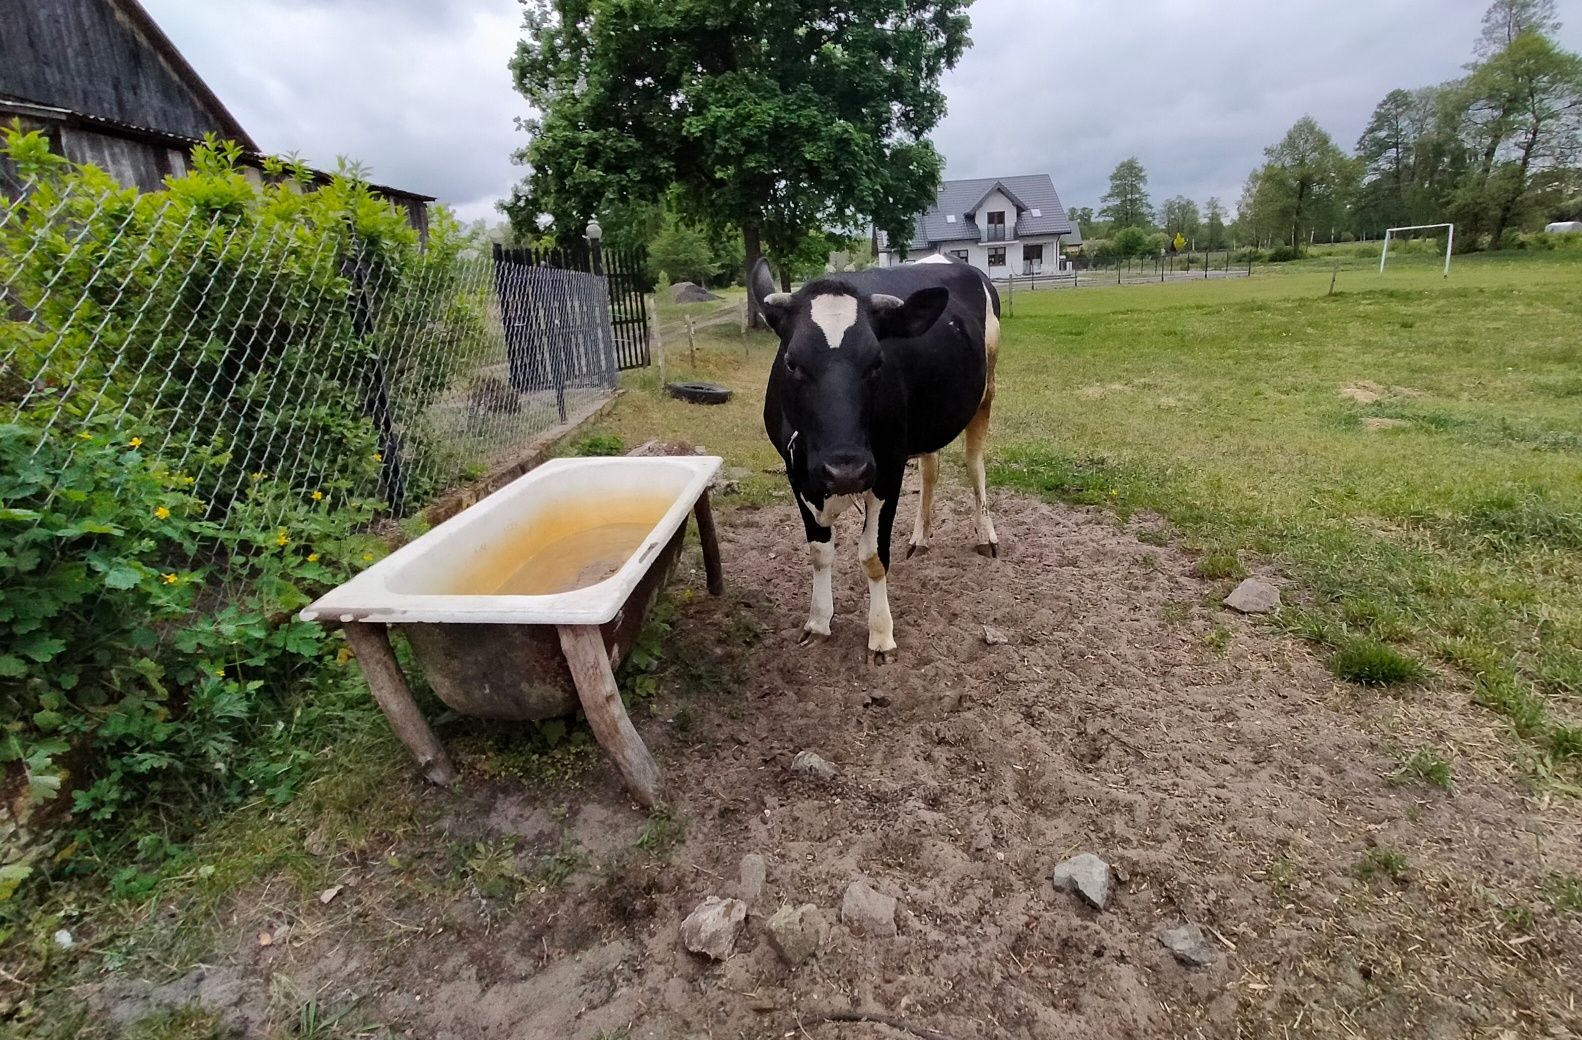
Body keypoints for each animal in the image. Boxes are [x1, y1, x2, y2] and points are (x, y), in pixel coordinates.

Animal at [753, 253, 999, 664]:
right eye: (791, 363)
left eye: (877, 362)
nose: (846, 469)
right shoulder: (796, 473)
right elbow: (819, 552)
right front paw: (818, 621)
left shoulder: (887, 472)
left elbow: (872, 557)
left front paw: (881, 635)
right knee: (930, 470)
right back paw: (920, 537)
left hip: (986, 392)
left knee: (974, 464)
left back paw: (986, 534)